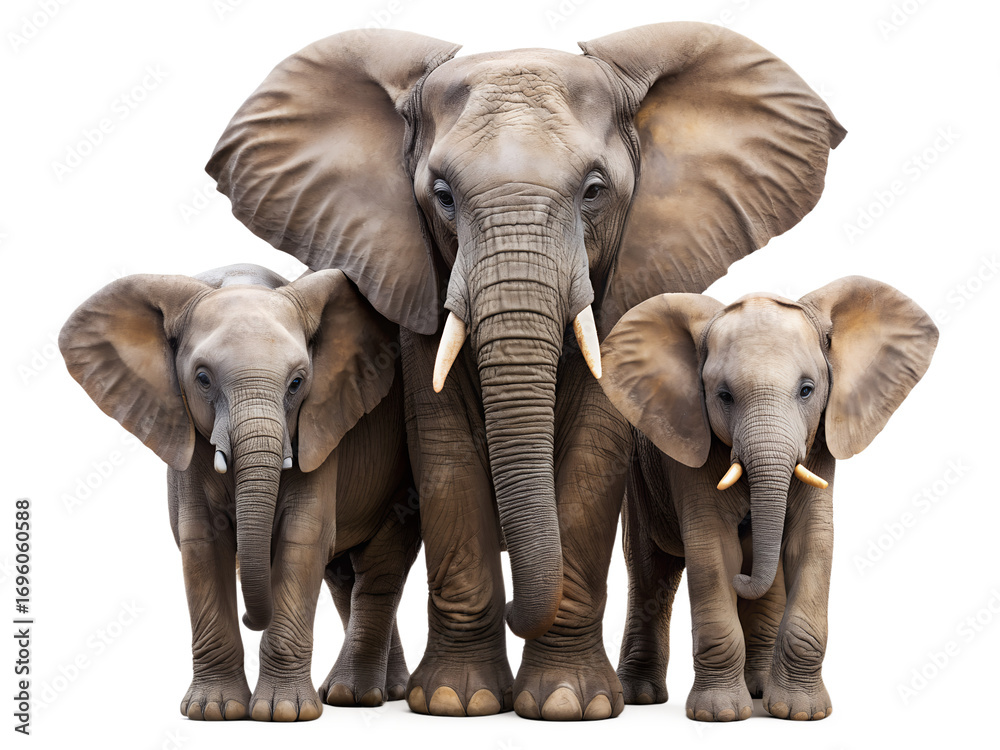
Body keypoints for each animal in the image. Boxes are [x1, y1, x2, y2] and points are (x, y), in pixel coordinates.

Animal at [59, 263, 420, 721]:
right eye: (202, 378)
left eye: (297, 383)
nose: (253, 618)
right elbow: (202, 544)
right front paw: (214, 711)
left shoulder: (317, 429)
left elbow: (303, 538)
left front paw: (283, 713)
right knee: (343, 578)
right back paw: (377, 691)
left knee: (377, 572)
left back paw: (353, 696)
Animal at [205, 21, 845, 719]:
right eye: (442, 196)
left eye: (594, 191)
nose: (517, 599)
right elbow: (446, 450)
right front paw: (458, 699)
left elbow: (594, 450)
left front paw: (568, 704)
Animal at [597, 276, 938, 721]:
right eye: (723, 396)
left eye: (807, 390)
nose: (743, 581)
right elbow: (712, 549)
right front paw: (720, 715)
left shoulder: (818, 444)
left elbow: (811, 543)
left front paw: (801, 714)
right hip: (639, 475)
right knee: (650, 568)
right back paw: (641, 696)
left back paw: (759, 690)